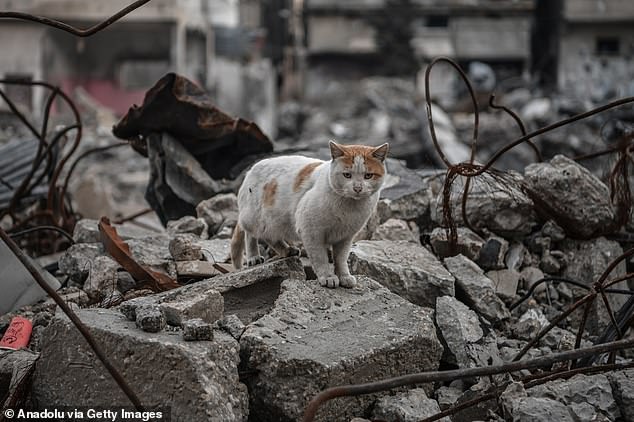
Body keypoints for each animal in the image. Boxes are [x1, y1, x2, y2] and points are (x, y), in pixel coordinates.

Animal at [230, 140, 388, 288]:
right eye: (347, 175)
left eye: (368, 176)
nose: (357, 188)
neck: (349, 208)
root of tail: (251, 170)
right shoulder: (311, 232)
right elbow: (320, 257)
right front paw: (328, 277)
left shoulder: (345, 238)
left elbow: (341, 259)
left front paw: (344, 277)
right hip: (254, 219)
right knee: (250, 234)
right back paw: (254, 257)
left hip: (274, 223)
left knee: (270, 237)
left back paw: (288, 250)